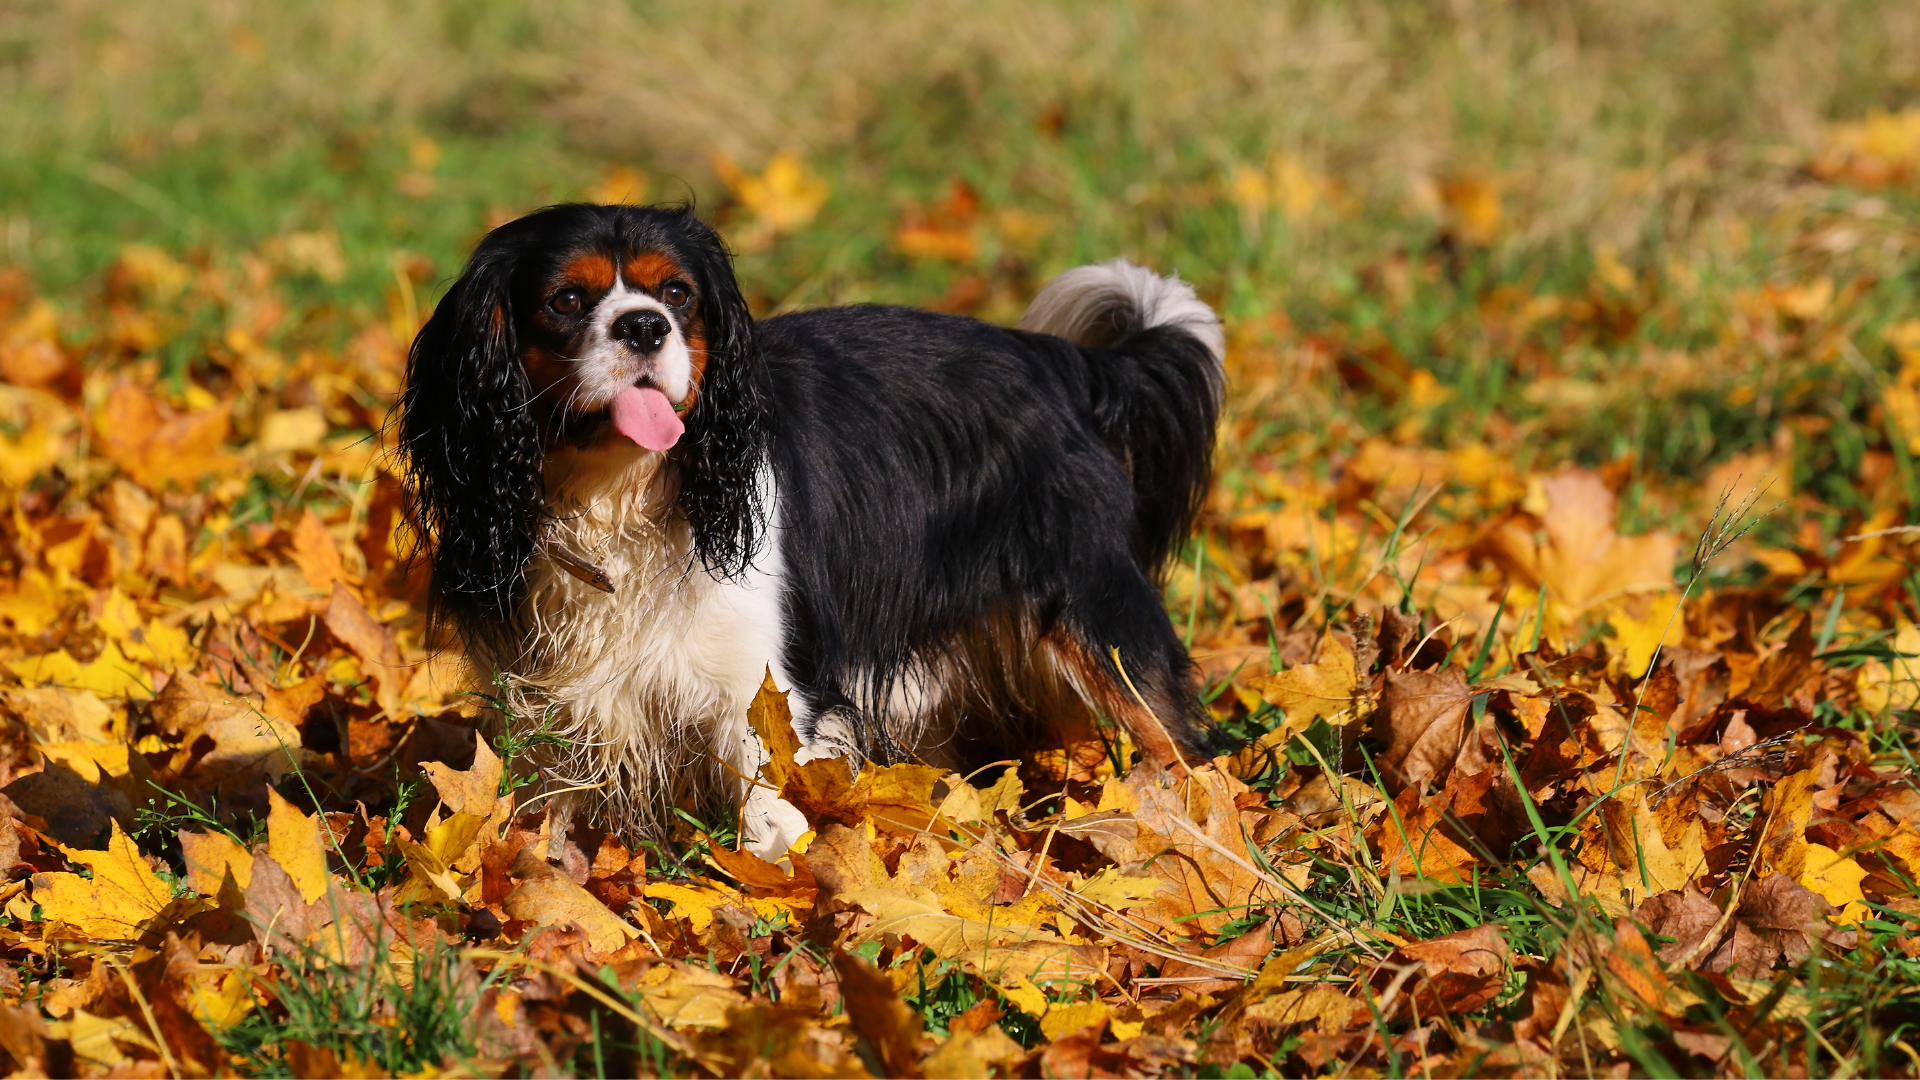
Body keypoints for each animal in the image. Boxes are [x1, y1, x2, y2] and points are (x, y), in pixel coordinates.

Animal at [397, 201, 1221, 853]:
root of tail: (1058, 362)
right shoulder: (554, 704)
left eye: (678, 294)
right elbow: (551, 815)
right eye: (567, 299)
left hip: (1094, 609)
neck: (617, 497)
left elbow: (770, 817)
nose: (645, 326)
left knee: (1179, 738)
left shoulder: (759, 691)